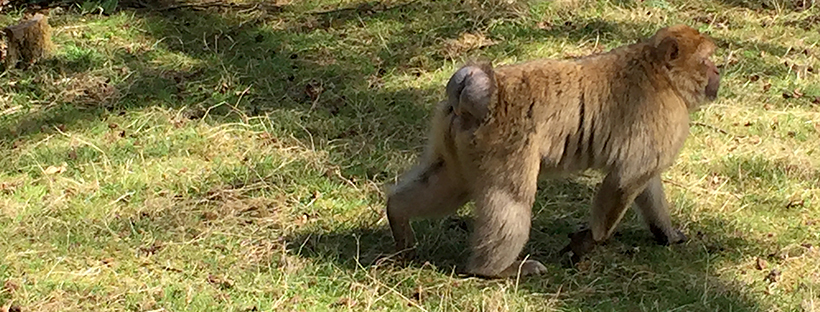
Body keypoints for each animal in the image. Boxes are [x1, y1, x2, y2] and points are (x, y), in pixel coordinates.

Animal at [384, 24, 716, 278]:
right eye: (707, 60)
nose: (718, 75)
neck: (660, 72)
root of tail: (480, 86)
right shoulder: (667, 115)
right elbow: (628, 179)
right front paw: (589, 241)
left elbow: (644, 181)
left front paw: (666, 233)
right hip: (502, 146)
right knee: (512, 199)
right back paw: (494, 270)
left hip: (460, 142)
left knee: (449, 186)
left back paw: (398, 217)